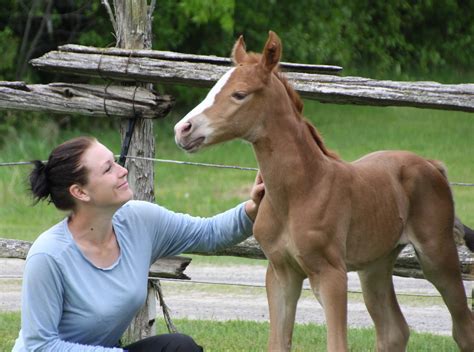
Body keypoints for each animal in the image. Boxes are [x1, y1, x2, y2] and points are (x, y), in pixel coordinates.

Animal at [175, 31, 474, 350]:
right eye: (213, 89)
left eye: (239, 94)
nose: (183, 129)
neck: (300, 191)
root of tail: (430, 164)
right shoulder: (281, 273)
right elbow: (278, 343)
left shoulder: (331, 274)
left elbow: (337, 343)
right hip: (376, 265)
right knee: (394, 330)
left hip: (437, 256)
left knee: (462, 327)